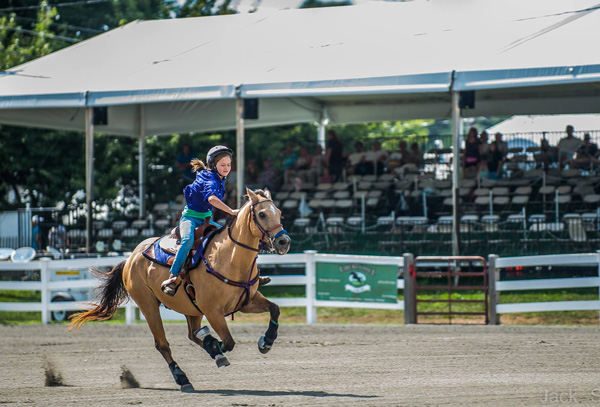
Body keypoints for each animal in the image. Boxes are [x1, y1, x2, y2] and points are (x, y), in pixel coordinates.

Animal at [69, 190, 292, 394]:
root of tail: (132, 257)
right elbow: (229, 341)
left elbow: (275, 309)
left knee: (193, 334)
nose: (284, 242)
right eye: (262, 214)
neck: (230, 258)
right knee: (163, 344)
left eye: (280, 213)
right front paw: (215, 347)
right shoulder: (213, 311)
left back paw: (210, 348)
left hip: (191, 308)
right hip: (149, 306)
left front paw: (266, 342)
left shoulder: (247, 301)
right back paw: (183, 378)